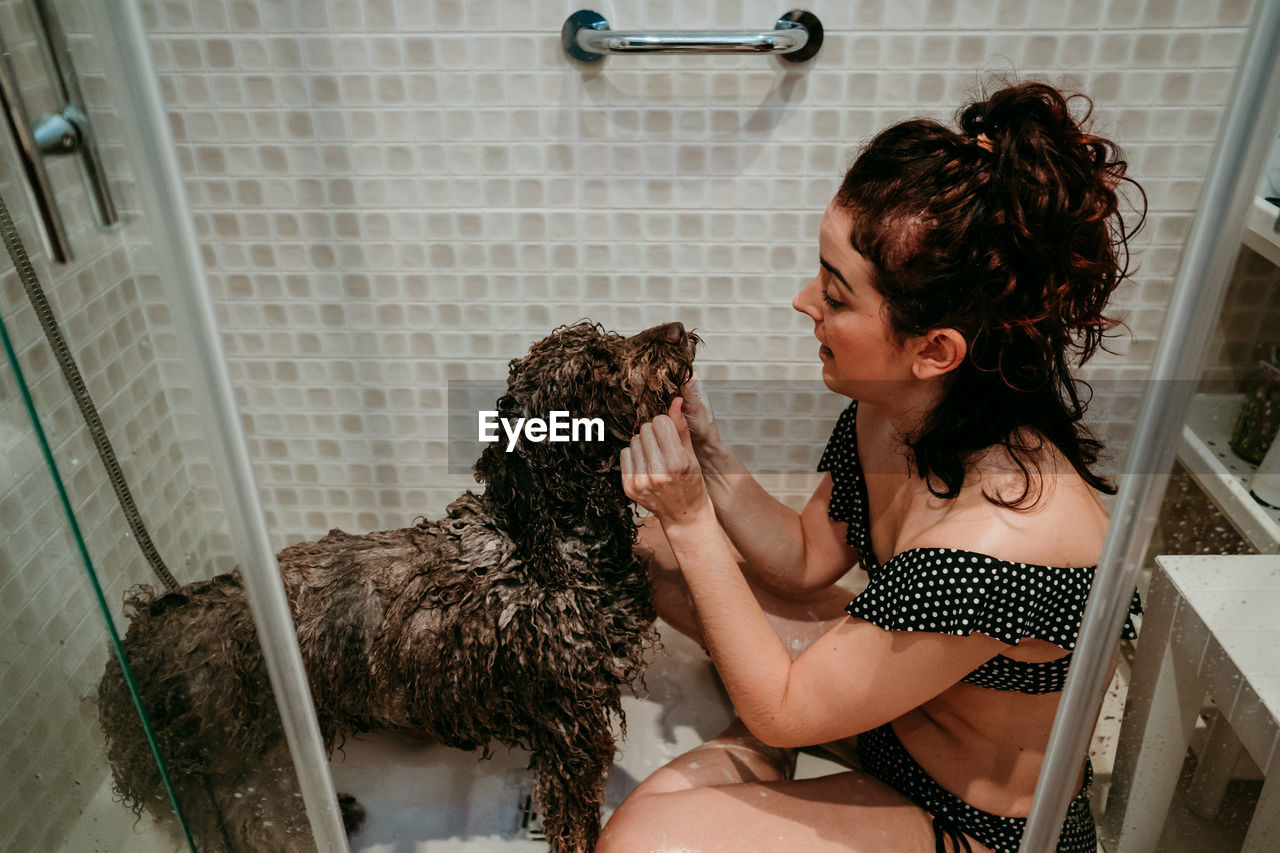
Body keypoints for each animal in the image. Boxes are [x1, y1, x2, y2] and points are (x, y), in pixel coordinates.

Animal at [98, 320, 701, 850]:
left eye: (607, 337)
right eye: (597, 363)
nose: (675, 328)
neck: (557, 548)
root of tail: (137, 647)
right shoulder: (567, 727)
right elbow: (575, 829)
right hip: (245, 776)